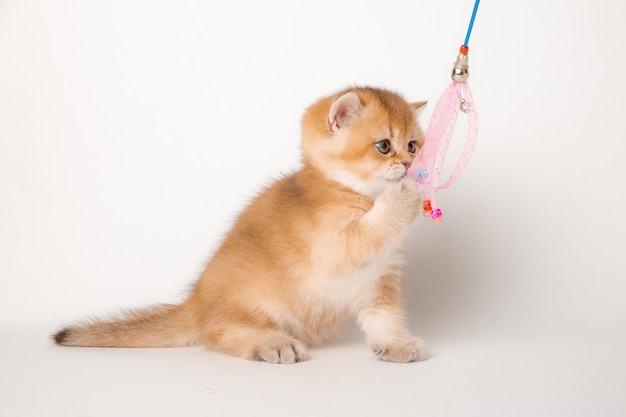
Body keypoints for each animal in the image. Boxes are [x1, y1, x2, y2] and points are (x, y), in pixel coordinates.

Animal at [53, 86, 426, 362]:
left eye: (412, 145)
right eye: (383, 146)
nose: (411, 165)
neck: (356, 193)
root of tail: (195, 303)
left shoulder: (381, 277)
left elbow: (385, 316)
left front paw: (395, 344)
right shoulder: (335, 250)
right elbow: (367, 233)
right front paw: (404, 195)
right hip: (258, 303)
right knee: (218, 333)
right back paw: (272, 343)